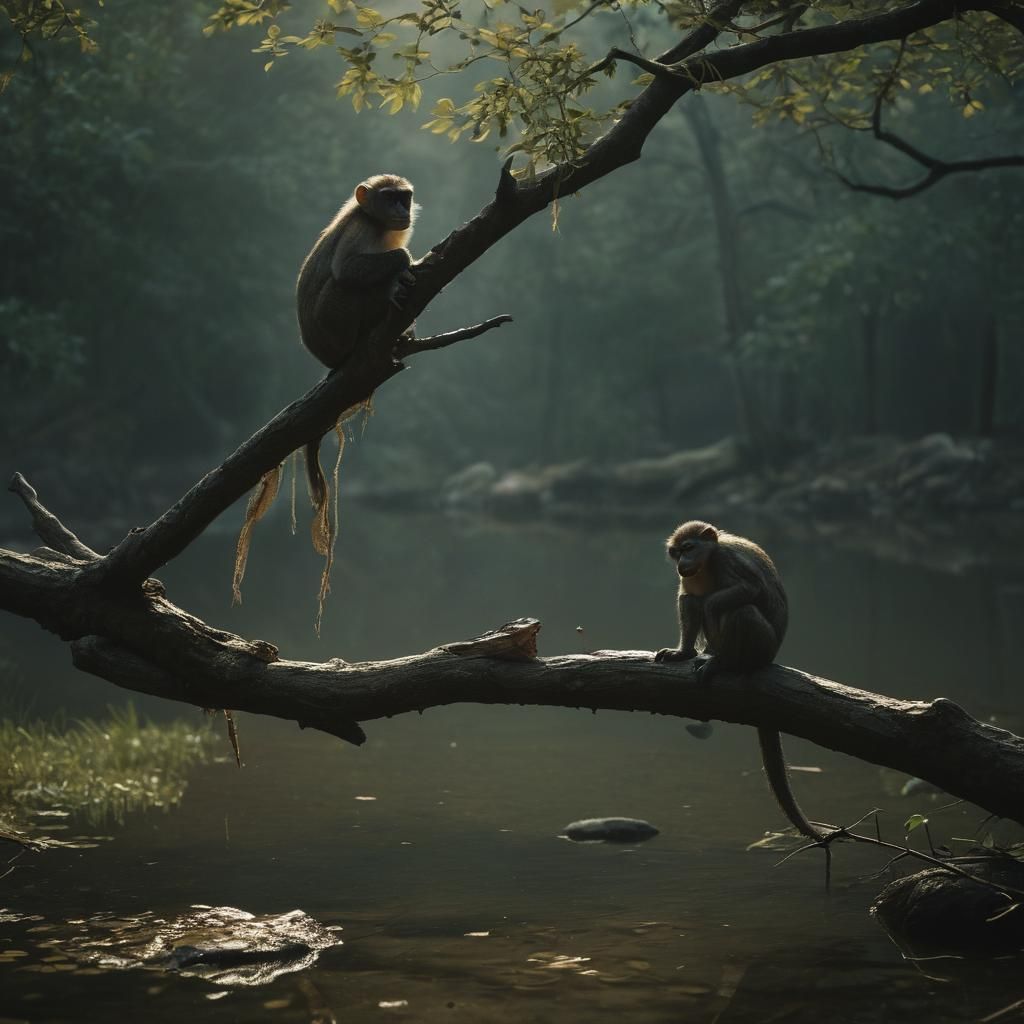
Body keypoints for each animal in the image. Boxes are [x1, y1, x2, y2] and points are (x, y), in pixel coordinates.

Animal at [295, 173, 418, 537]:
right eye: (390, 197)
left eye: (405, 198)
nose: (401, 210)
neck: (375, 222)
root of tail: (327, 359)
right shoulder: (361, 228)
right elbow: (347, 270)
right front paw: (404, 261)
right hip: (334, 324)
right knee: (344, 285)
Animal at [654, 520, 831, 841]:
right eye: (676, 553)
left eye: (689, 548)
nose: (682, 563)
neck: (708, 561)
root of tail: (769, 658)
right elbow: (688, 596)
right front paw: (683, 652)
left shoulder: (727, 561)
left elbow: (749, 590)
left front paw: (714, 613)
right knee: (693, 599)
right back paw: (696, 652)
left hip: (762, 647)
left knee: (740, 609)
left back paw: (725, 662)